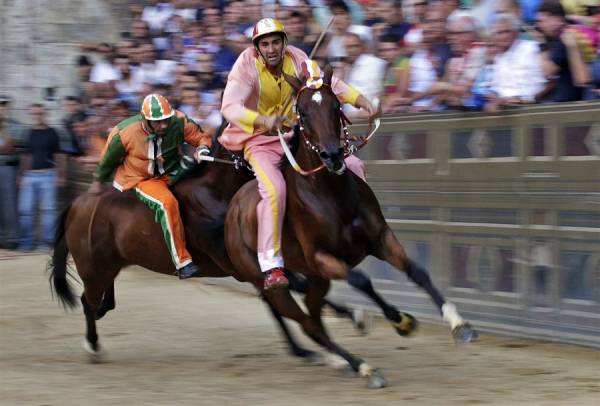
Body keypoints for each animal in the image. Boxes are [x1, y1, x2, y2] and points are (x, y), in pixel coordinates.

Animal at [223, 65, 476, 388]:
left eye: (335, 106)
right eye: (302, 112)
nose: (332, 155)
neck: (331, 196)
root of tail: (233, 209)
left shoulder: (380, 238)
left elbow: (417, 271)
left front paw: (458, 324)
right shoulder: (322, 257)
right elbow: (361, 280)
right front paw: (400, 320)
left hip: (316, 280)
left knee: (314, 316)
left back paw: (347, 361)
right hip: (270, 283)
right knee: (308, 325)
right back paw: (363, 367)